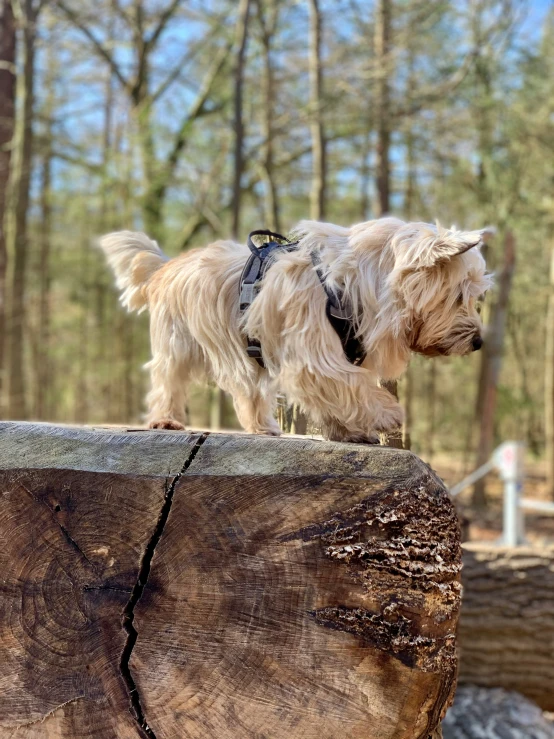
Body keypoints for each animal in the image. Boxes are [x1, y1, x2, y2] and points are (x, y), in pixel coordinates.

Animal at [100, 217, 492, 442]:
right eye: (460, 295)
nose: (478, 342)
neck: (354, 283)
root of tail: (164, 267)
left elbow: (339, 392)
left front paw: (346, 431)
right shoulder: (313, 354)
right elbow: (349, 383)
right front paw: (387, 414)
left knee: (249, 391)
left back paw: (262, 426)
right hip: (177, 343)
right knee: (166, 381)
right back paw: (165, 420)